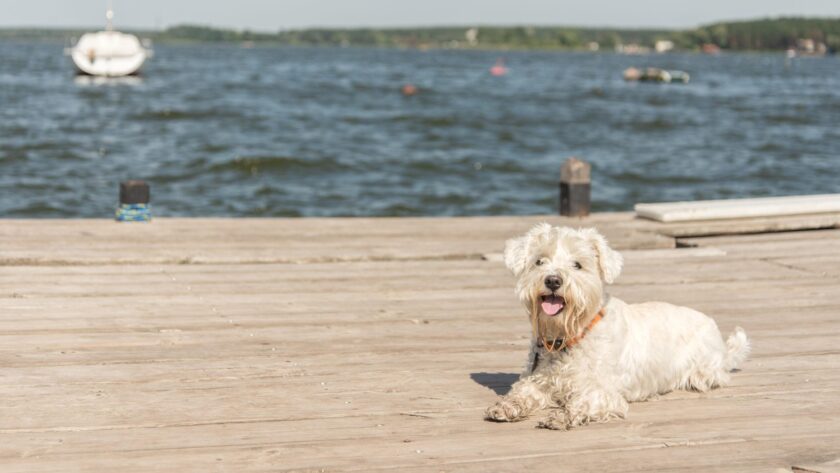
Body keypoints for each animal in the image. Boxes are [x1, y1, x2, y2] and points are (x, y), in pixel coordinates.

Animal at [486, 223, 748, 430]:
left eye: (577, 265)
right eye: (539, 261)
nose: (552, 280)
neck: (568, 336)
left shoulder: (603, 392)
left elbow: (583, 402)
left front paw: (561, 416)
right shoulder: (539, 380)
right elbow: (522, 392)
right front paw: (507, 406)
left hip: (703, 370)